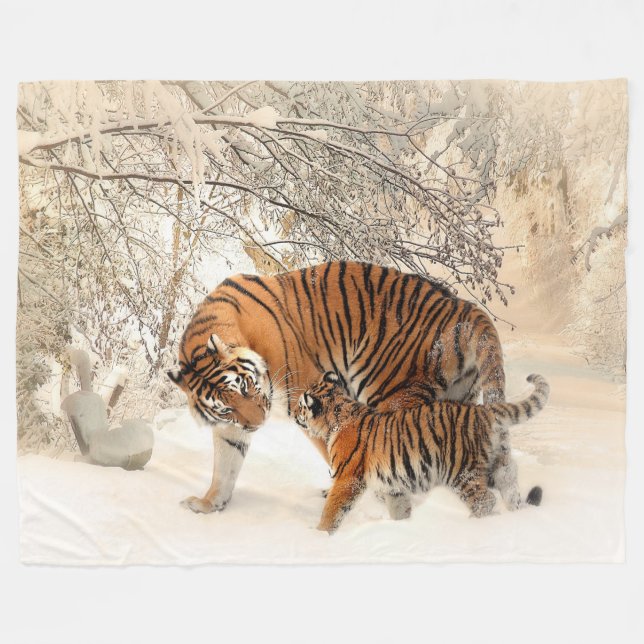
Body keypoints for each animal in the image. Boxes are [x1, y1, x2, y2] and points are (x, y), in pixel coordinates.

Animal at [167, 261, 507, 514]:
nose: (258, 424)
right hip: (456, 400)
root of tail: (462, 307)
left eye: (247, 387)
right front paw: (209, 503)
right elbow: (225, 465)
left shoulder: (307, 396)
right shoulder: (231, 426)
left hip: (390, 392)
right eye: (226, 407)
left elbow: (338, 453)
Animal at [296, 371, 548, 533]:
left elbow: (332, 509)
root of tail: (483, 411)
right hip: (498, 464)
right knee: (510, 485)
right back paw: (516, 514)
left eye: (301, 405)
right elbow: (399, 508)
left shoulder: (347, 478)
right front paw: (401, 527)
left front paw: (319, 534)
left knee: (485, 501)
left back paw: (472, 525)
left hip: (461, 472)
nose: (295, 414)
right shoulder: (393, 485)